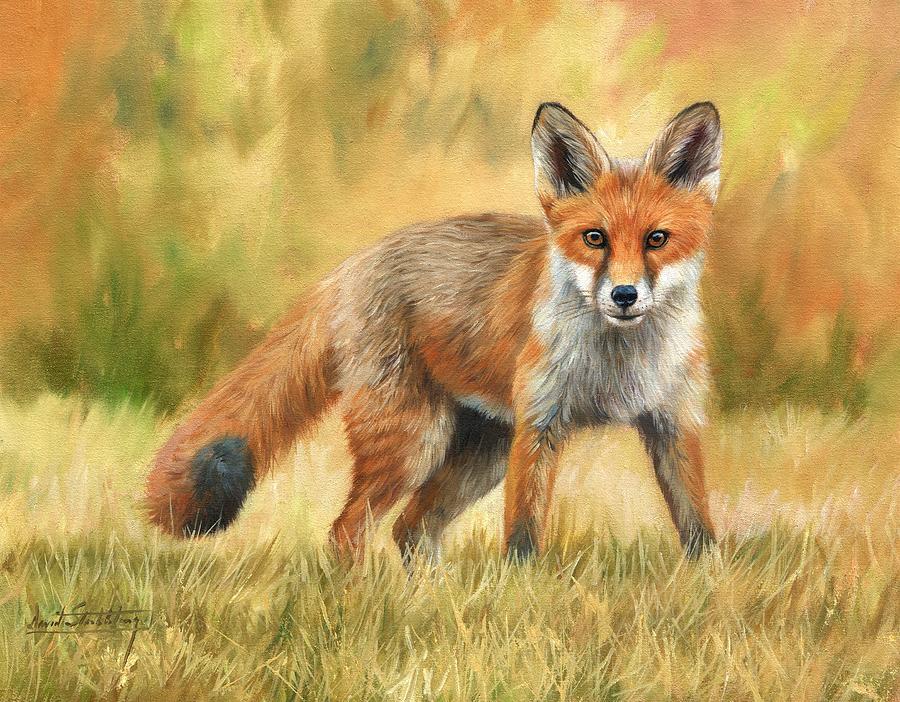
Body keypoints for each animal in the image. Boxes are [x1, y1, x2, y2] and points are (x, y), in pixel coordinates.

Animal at [146, 100, 722, 562]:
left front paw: (710, 591)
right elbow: (523, 540)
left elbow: (699, 530)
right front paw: (522, 601)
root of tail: (355, 262)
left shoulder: (674, 422)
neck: (619, 367)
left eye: (656, 239)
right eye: (594, 238)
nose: (624, 295)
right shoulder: (540, 427)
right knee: (348, 531)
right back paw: (365, 609)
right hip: (414, 443)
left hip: (480, 454)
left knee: (410, 529)